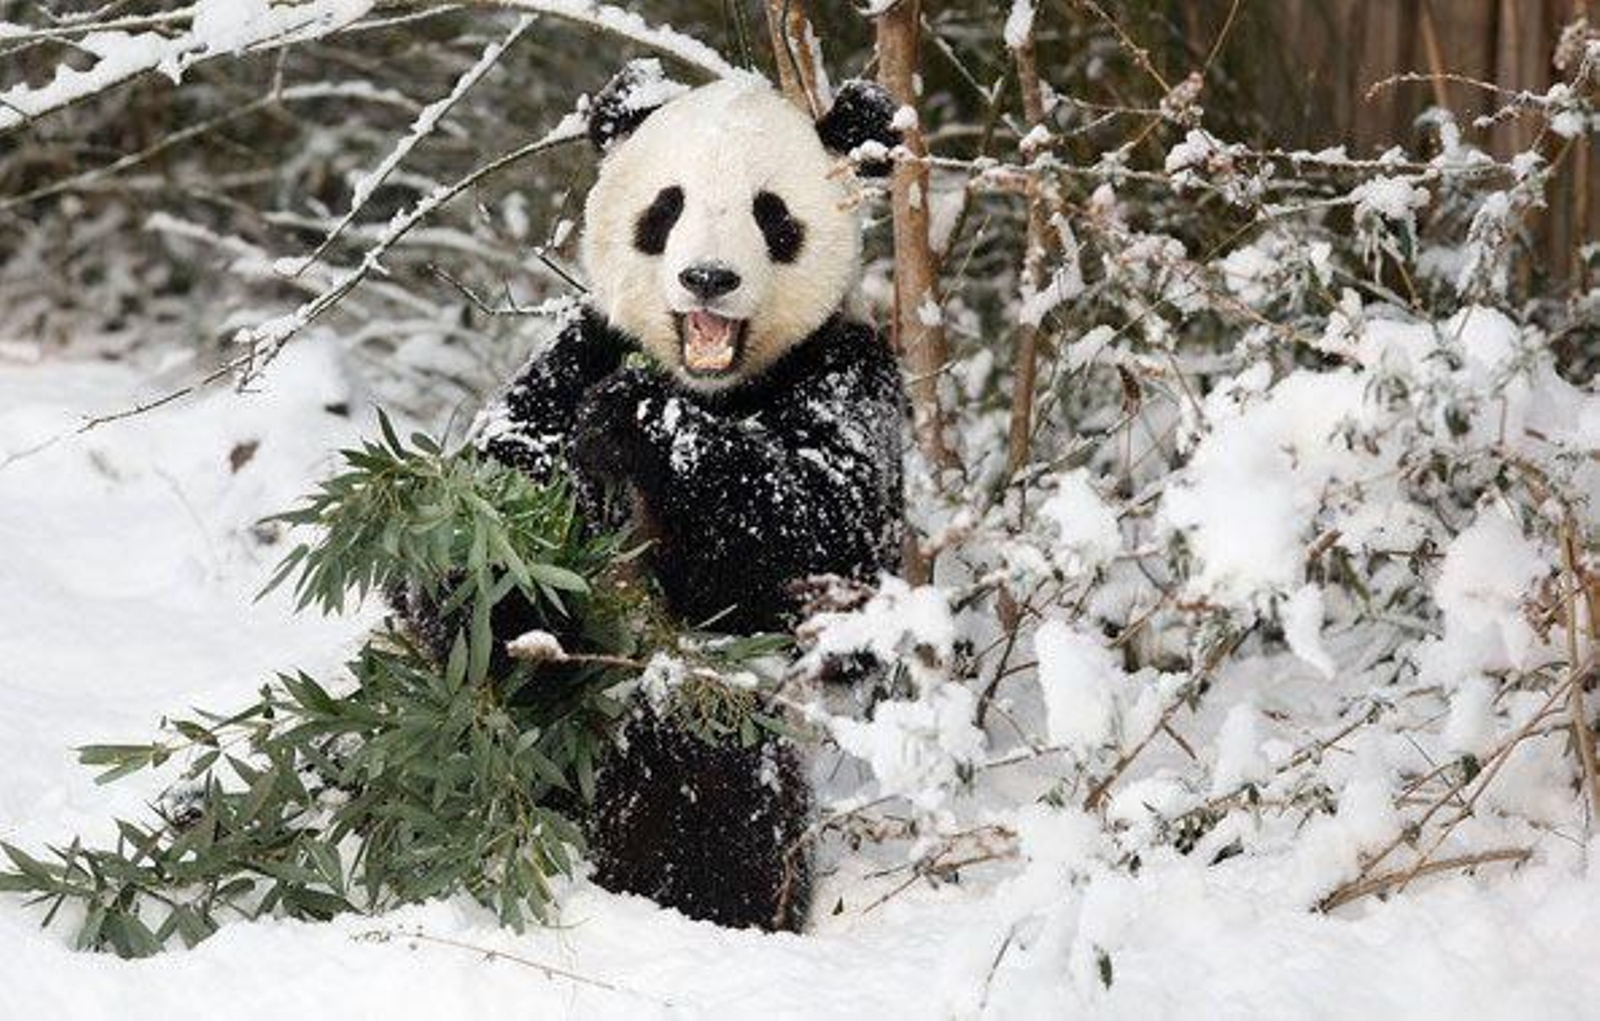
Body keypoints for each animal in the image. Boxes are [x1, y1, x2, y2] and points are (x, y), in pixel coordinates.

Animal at [468, 63, 905, 932]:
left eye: (772, 215)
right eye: (665, 208)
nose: (708, 278)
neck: (712, 385)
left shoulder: (848, 369)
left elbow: (824, 542)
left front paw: (634, 420)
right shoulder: (586, 344)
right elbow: (501, 466)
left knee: (705, 762)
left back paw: (702, 896)